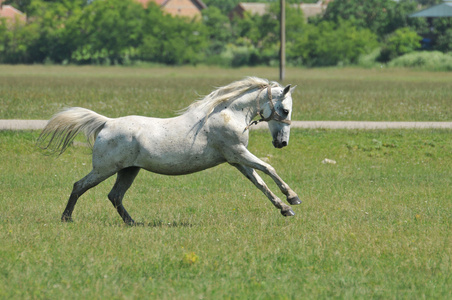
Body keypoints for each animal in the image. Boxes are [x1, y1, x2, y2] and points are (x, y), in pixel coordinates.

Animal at [38, 76, 300, 224]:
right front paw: (293, 198)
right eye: (286, 110)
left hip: (128, 170)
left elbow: (260, 183)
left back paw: (133, 223)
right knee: (79, 186)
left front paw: (285, 209)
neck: (228, 114)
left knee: (115, 196)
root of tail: (107, 122)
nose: (282, 143)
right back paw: (67, 218)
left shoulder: (237, 160)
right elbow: (269, 168)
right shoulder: (238, 153)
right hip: (105, 169)